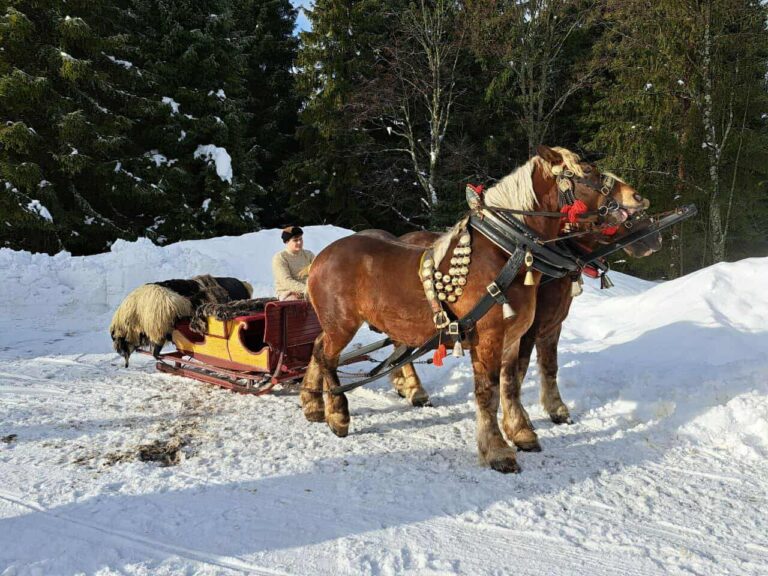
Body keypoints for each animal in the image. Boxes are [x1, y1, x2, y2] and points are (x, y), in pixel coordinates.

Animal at [300, 145, 648, 473]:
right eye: (587, 171)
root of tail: (321, 257)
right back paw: (337, 414)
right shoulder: (490, 338)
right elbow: (488, 392)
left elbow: (511, 385)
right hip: (342, 324)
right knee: (327, 357)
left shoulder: (514, 337)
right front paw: (497, 451)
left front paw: (521, 432)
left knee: (319, 348)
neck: (507, 253)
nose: (638, 198)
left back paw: (314, 403)